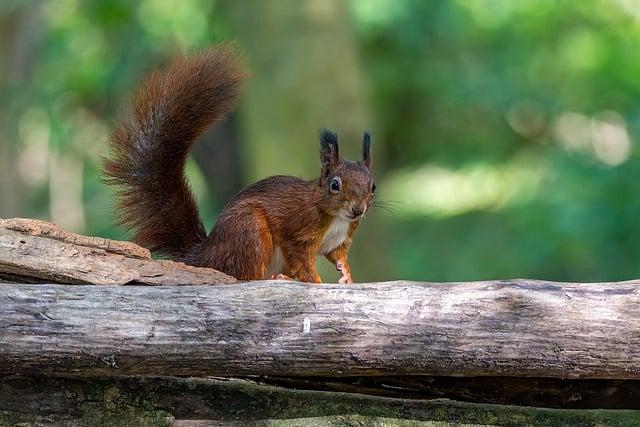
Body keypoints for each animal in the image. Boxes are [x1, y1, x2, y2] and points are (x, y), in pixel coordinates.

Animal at [104, 46, 376, 284]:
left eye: (372, 187)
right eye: (334, 185)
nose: (358, 210)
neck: (335, 217)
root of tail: (207, 256)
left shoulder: (340, 241)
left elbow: (337, 255)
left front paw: (347, 275)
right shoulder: (299, 232)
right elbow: (303, 262)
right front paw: (316, 281)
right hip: (250, 230)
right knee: (246, 276)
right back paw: (277, 278)